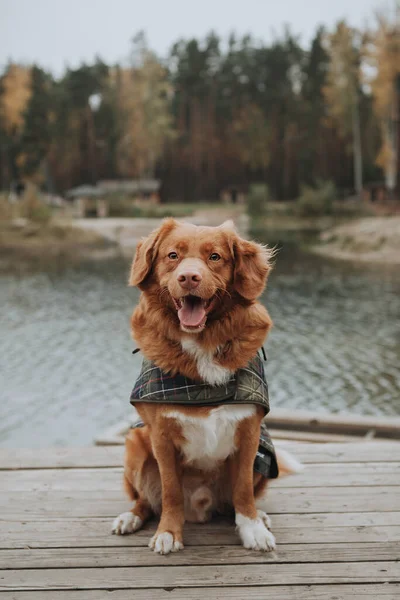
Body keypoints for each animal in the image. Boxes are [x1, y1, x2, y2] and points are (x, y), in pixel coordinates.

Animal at [111, 219, 300, 552]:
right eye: (173, 255)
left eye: (215, 257)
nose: (189, 277)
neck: (201, 346)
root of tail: (200, 509)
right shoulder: (161, 437)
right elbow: (170, 491)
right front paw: (168, 532)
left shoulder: (250, 433)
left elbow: (243, 491)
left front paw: (252, 528)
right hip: (135, 446)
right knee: (145, 500)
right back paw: (130, 517)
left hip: (267, 453)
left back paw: (260, 516)